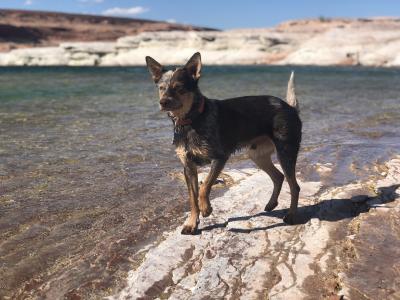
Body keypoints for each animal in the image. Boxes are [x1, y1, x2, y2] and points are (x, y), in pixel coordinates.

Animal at [145, 52, 302, 234]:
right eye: (161, 88)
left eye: (179, 88)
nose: (163, 102)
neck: (191, 120)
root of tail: (290, 107)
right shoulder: (188, 167)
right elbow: (192, 198)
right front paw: (192, 223)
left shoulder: (219, 157)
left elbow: (205, 186)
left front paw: (206, 208)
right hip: (257, 155)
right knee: (278, 176)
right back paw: (271, 204)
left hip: (285, 152)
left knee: (294, 186)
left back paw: (291, 215)